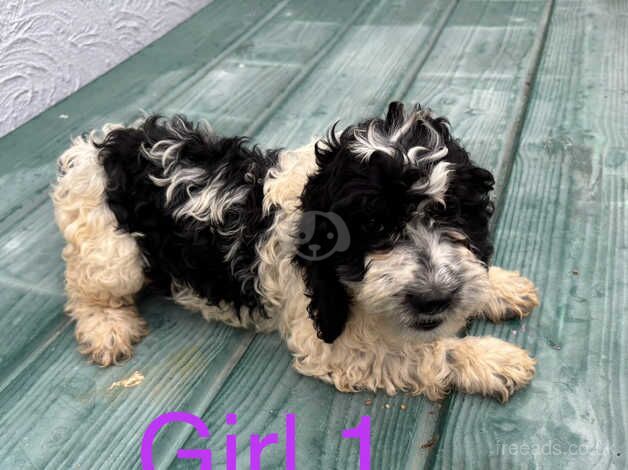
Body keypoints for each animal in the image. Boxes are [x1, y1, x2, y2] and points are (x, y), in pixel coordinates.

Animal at [51, 102, 536, 400]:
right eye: (374, 226)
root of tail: (99, 146)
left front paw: (501, 287)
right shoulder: (330, 342)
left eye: (451, 213)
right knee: (84, 290)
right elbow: (425, 353)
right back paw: (106, 327)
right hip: (111, 253)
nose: (435, 299)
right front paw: (492, 359)